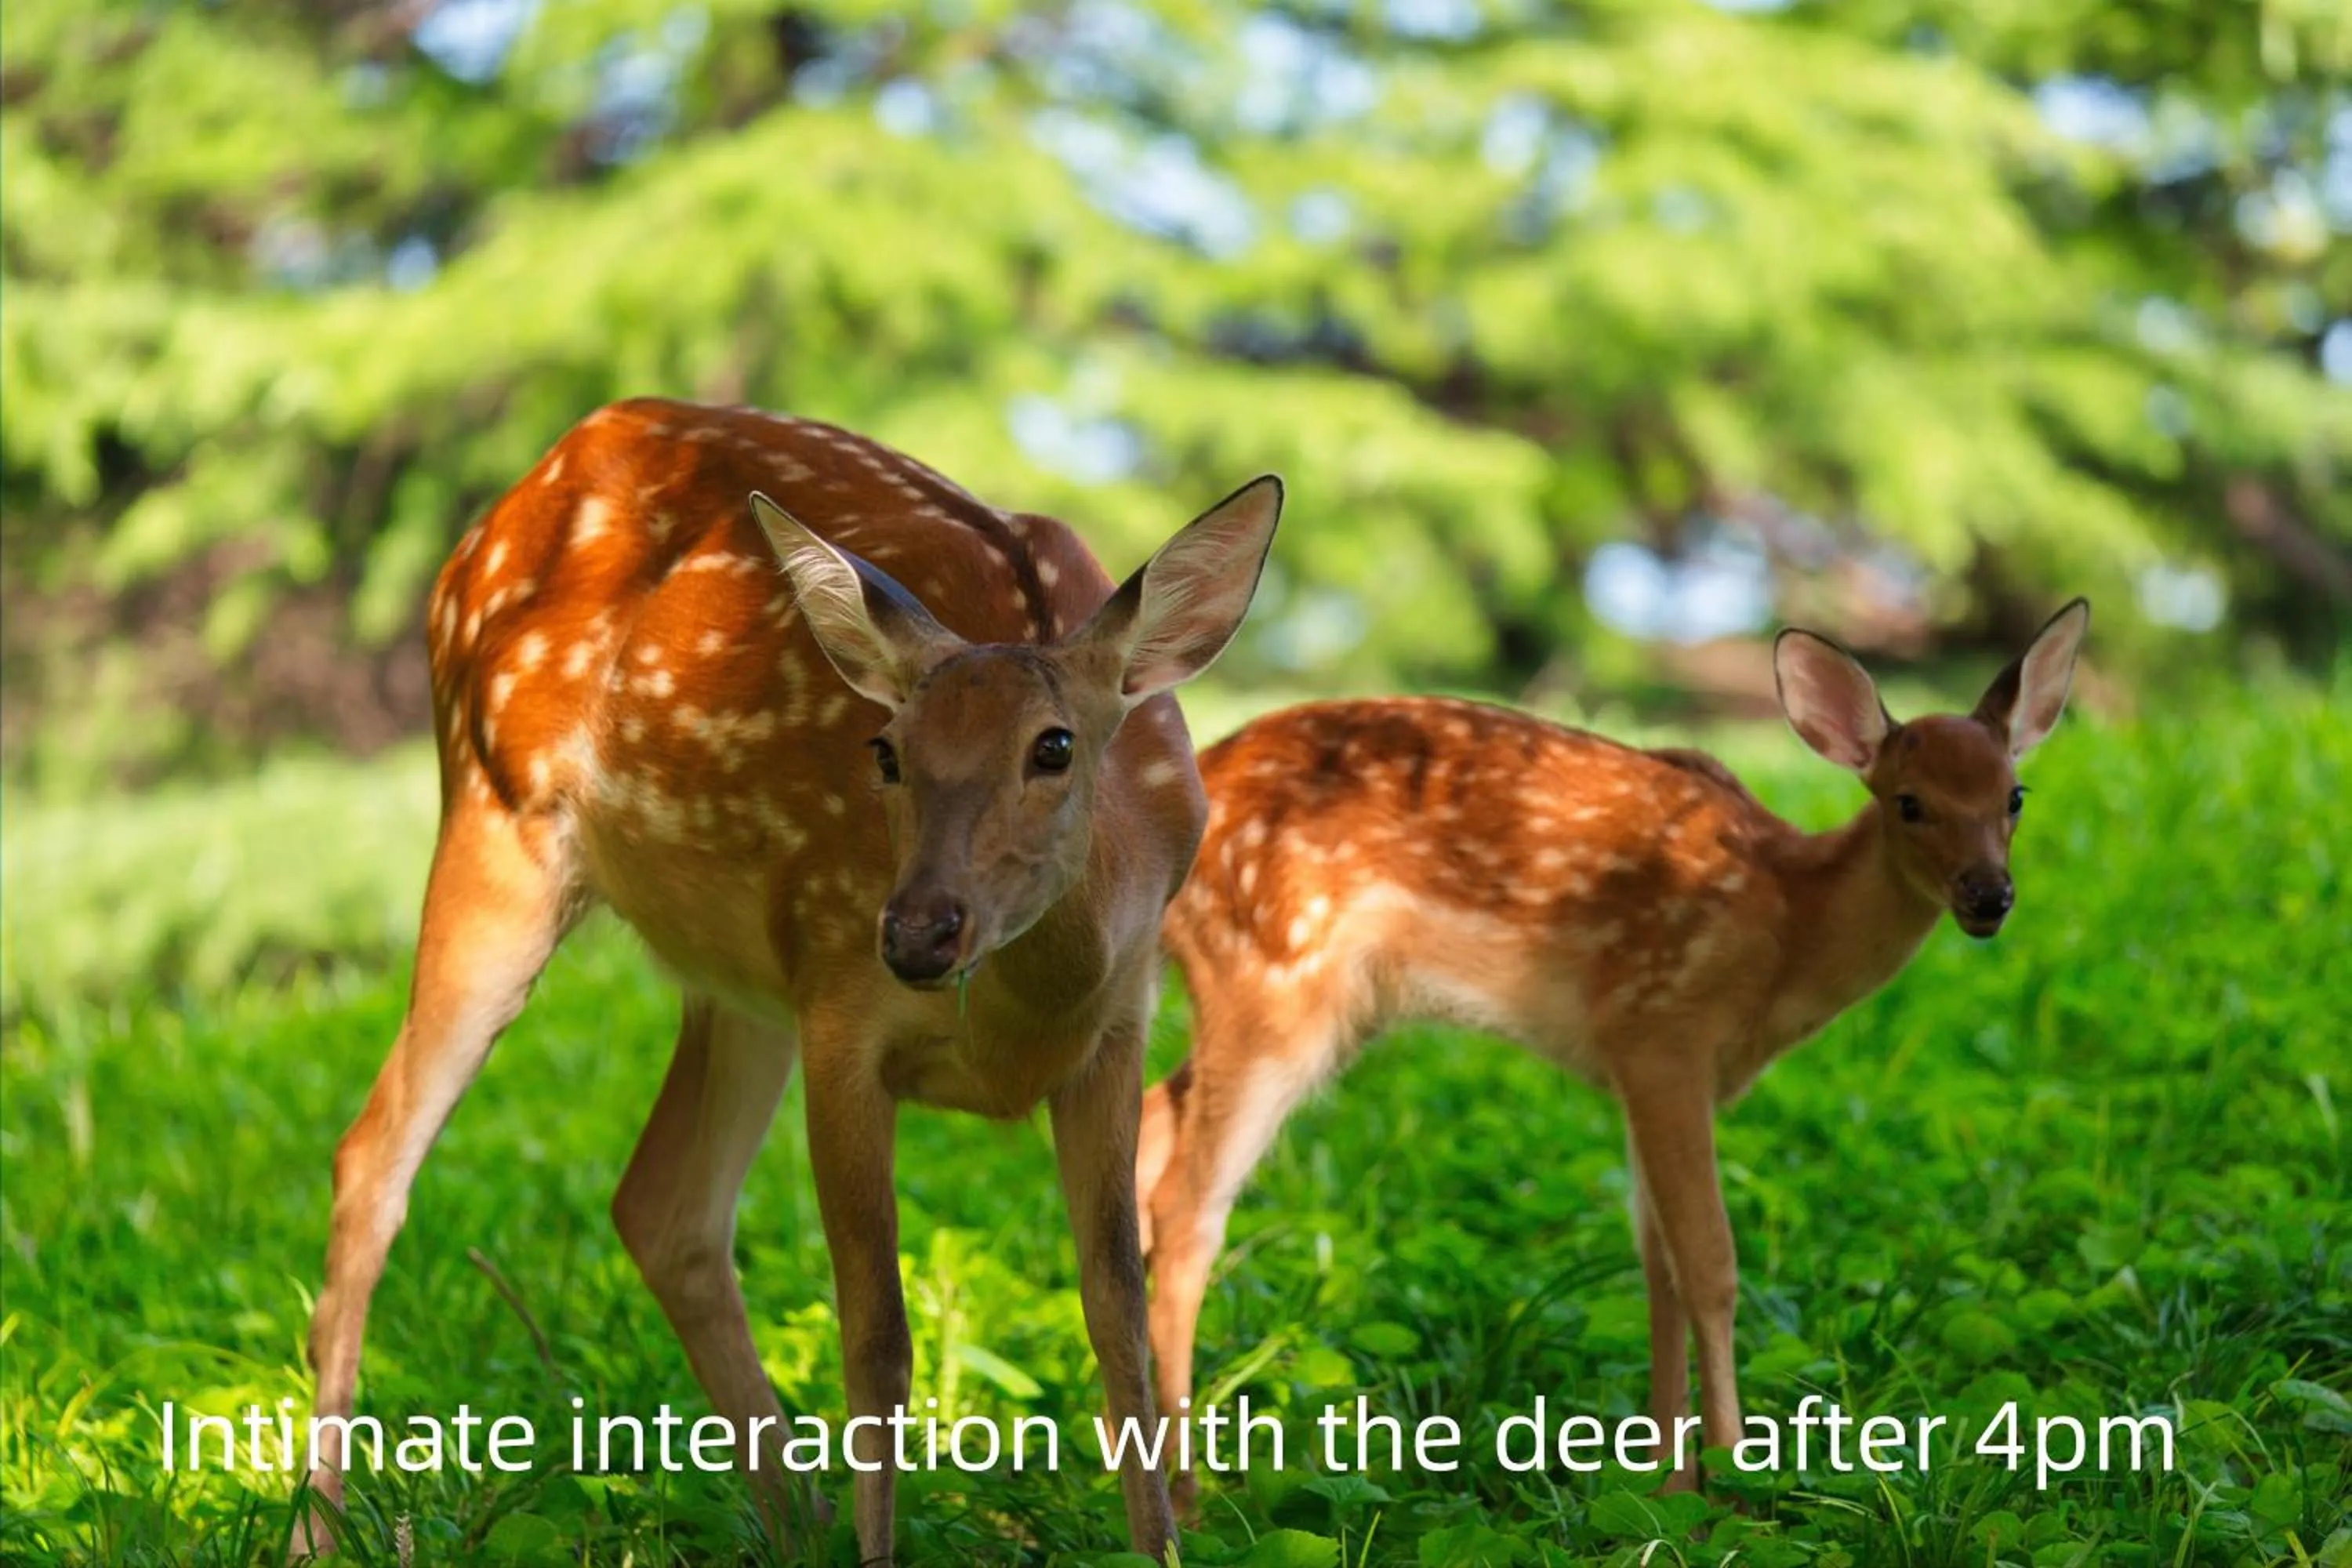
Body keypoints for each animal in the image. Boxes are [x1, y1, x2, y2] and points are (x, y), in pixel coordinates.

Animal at [298, 396, 1283, 1563]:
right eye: (886, 752)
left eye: (1054, 746)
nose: (916, 931)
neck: (1022, 1012)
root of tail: (494, 519)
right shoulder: (843, 1017)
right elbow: (877, 1334)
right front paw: (879, 1551)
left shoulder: (1115, 1028)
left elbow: (1116, 1309)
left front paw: (1160, 1543)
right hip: (502, 823)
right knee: (373, 1155)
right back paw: (315, 1527)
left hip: (739, 977)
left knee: (663, 1206)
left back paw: (794, 1519)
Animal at [1135, 600, 2089, 1501]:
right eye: (1908, 800)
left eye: (2015, 795)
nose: (1989, 896)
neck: (1786, 928)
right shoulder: (1665, 1028)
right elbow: (1710, 1262)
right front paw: (1735, 1479)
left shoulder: (1642, 1065)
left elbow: (1656, 1261)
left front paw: (1669, 1477)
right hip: (1273, 978)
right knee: (1188, 1207)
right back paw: (1184, 1489)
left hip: (1298, 1002)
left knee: (1146, 1135)